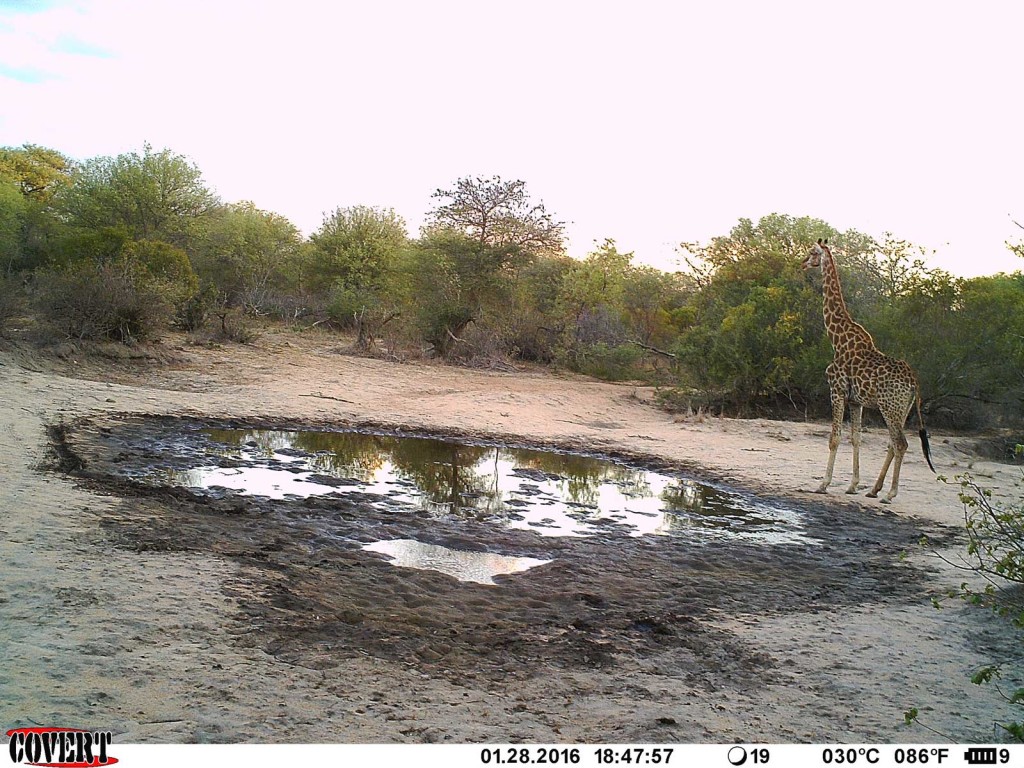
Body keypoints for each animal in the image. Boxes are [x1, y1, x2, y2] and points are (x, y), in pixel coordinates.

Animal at [798, 240, 937, 505]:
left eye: (812, 252)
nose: (802, 263)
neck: (836, 339)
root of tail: (914, 382)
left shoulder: (837, 391)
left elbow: (834, 438)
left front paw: (823, 484)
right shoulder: (856, 401)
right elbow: (856, 439)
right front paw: (852, 485)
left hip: (890, 407)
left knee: (901, 444)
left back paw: (890, 494)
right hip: (902, 409)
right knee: (893, 443)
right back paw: (874, 489)